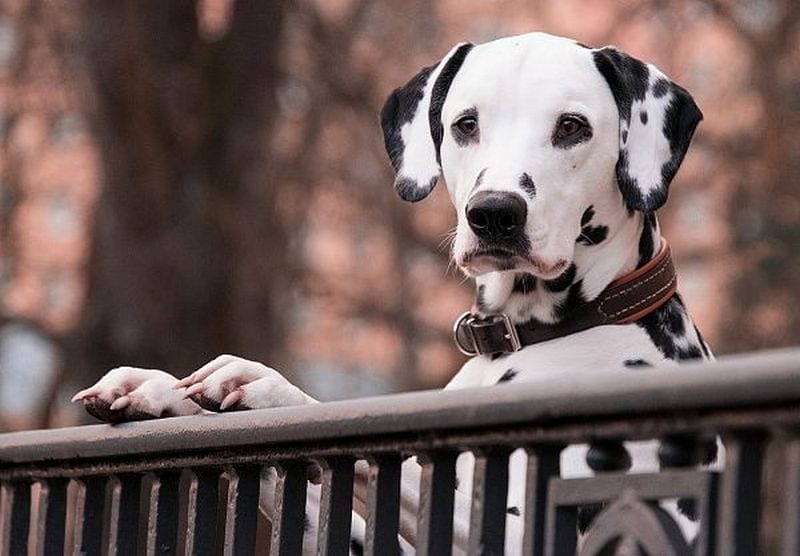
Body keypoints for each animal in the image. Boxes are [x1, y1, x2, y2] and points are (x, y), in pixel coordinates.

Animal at [75, 32, 712, 552]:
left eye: (572, 126)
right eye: (465, 124)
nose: (494, 214)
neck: (526, 337)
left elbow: (385, 455)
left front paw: (267, 387)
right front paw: (161, 390)